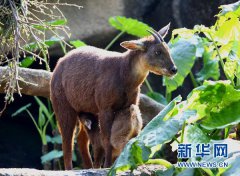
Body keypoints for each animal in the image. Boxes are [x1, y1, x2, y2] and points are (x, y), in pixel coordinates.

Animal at [50, 23, 177, 169]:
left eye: (168, 49)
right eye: (157, 51)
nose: (173, 69)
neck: (123, 75)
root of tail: (57, 66)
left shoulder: (130, 104)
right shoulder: (105, 107)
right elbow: (106, 138)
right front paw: (107, 166)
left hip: (85, 110)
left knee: (82, 139)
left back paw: (90, 166)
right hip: (63, 107)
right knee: (67, 140)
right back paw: (71, 169)